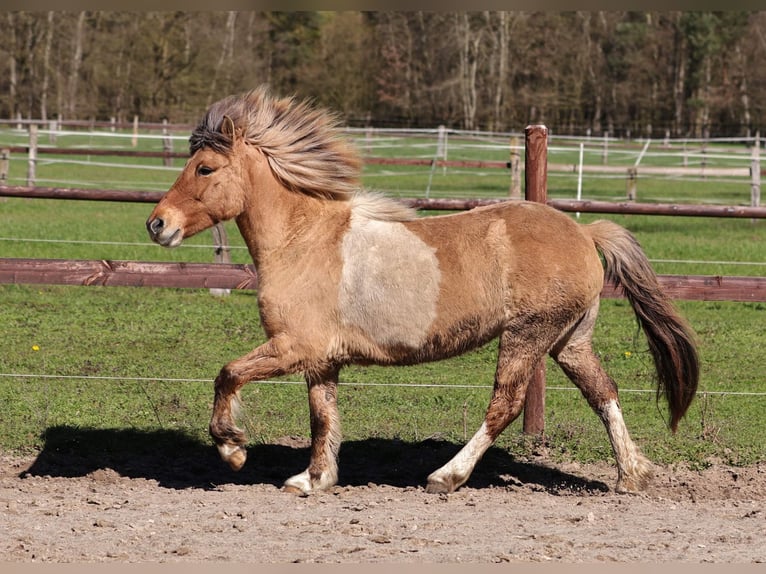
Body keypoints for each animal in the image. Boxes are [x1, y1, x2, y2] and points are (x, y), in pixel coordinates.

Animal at [146, 88, 704, 498]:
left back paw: (445, 476)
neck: (302, 241)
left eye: (205, 169)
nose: (157, 224)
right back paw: (632, 476)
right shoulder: (321, 359)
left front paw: (234, 449)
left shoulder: (293, 347)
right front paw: (312, 479)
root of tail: (585, 233)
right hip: (569, 340)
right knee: (603, 393)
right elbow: (322, 415)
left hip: (527, 335)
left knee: (505, 404)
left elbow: (228, 375)